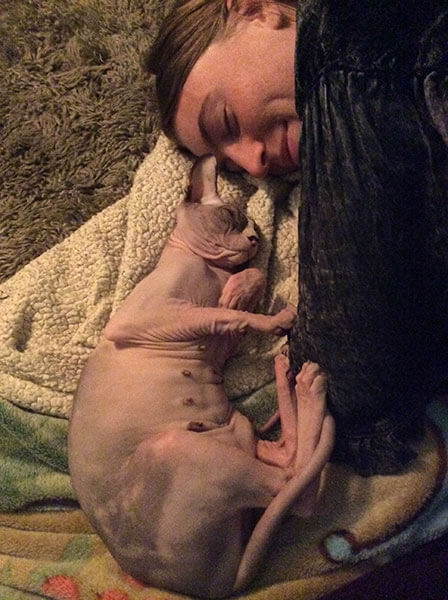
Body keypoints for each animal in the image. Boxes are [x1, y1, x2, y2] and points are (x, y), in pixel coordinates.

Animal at [68, 156, 335, 599]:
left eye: (255, 226)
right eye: (229, 216)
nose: (254, 240)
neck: (208, 268)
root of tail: (212, 586)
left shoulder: (216, 339)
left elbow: (241, 297)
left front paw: (241, 290)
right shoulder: (154, 318)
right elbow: (223, 311)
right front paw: (263, 310)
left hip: (233, 431)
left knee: (289, 463)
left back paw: (290, 376)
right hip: (179, 448)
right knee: (294, 488)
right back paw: (307, 384)